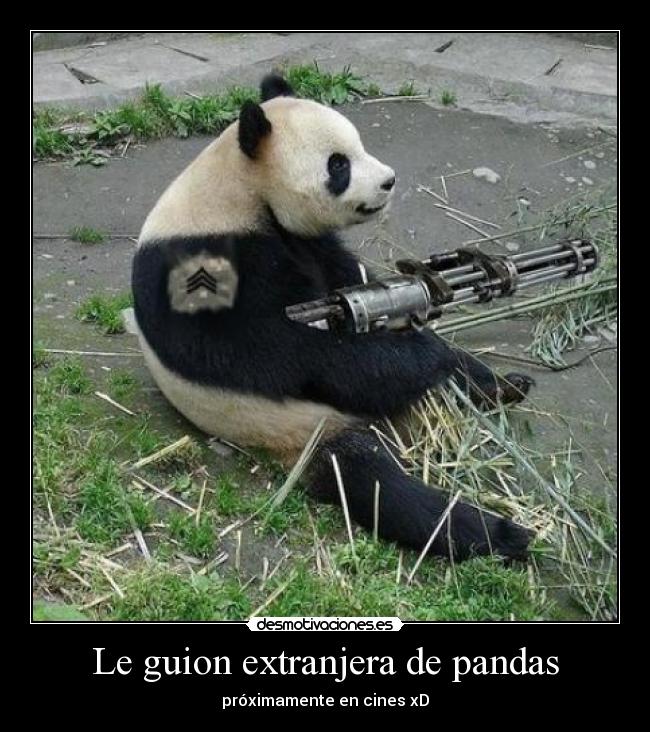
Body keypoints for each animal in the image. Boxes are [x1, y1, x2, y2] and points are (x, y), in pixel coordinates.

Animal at [132, 73, 534, 562]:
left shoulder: (308, 244)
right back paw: (498, 533)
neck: (239, 189)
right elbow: (276, 352)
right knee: (377, 484)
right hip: (303, 430)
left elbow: (348, 280)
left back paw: (504, 386)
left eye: (359, 146)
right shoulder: (200, 264)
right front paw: (415, 351)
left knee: (454, 370)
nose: (389, 181)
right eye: (338, 165)